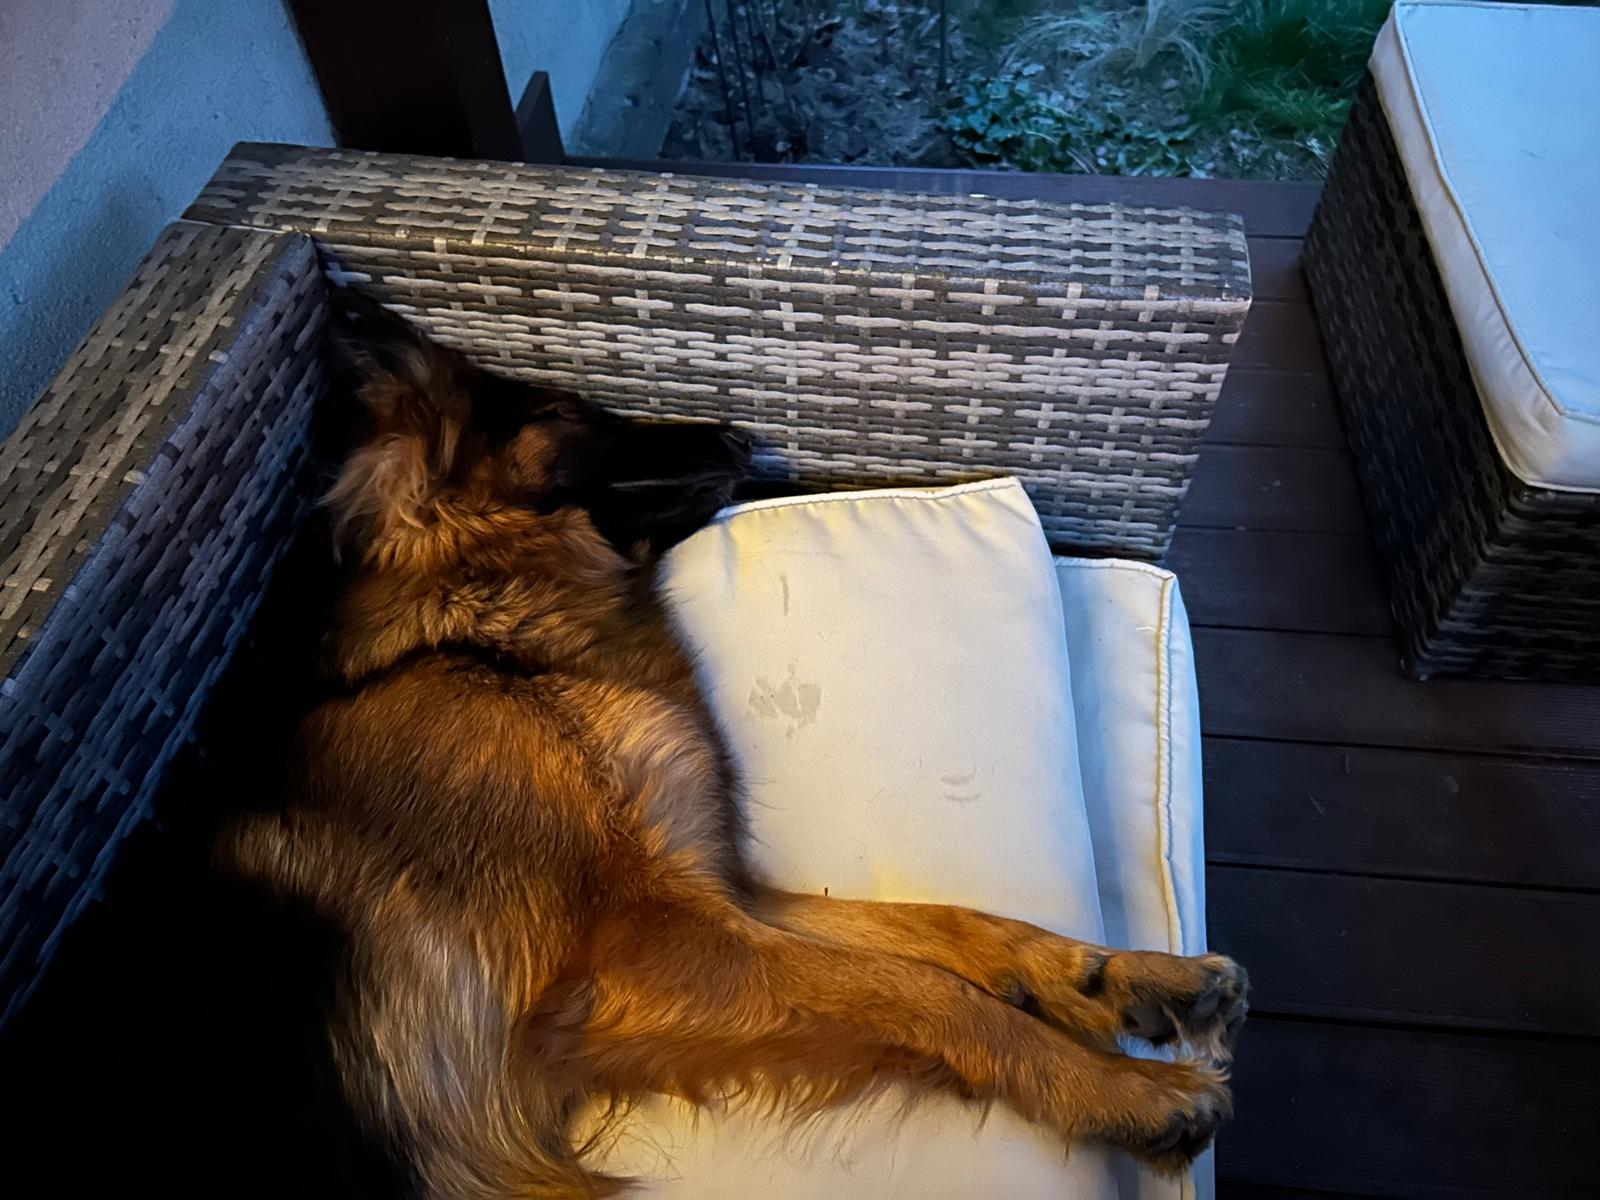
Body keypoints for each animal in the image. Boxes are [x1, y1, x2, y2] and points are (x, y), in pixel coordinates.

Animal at [218, 296, 1247, 1198]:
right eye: (567, 415)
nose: (740, 440)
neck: (479, 639)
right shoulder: (650, 948)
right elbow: (922, 988)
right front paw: (1124, 1090)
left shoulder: (713, 890)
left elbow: (944, 929)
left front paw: (1115, 976)